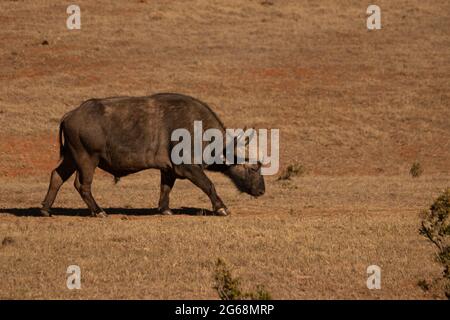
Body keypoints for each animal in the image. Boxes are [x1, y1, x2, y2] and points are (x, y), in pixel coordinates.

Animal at [40, 92, 266, 218]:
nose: (262, 190)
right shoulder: (188, 168)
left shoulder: (169, 170)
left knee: (56, 176)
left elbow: (165, 189)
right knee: (82, 185)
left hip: (71, 158)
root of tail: (71, 115)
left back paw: (46, 209)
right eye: (253, 167)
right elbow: (209, 185)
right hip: (87, 159)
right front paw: (221, 208)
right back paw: (99, 211)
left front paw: (165, 209)